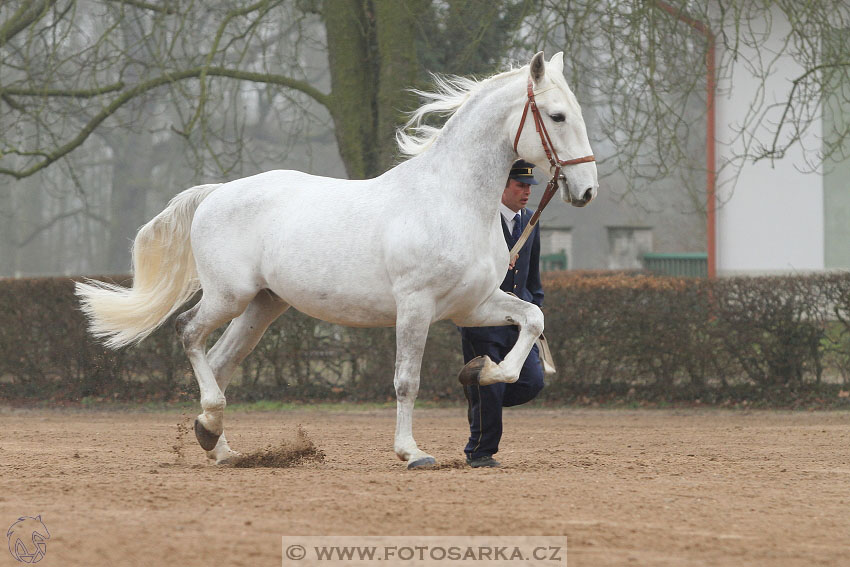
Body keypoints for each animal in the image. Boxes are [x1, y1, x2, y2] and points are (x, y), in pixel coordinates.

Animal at [78, 51, 596, 468]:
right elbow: (406, 381)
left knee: (221, 360)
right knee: (188, 333)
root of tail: (216, 192)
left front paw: (480, 371)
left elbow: (531, 320)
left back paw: (216, 442)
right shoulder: (416, 307)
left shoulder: (472, 305)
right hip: (230, 296)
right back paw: (212, 427)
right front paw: (412, 453)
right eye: (556, 116)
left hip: (264, 305)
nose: (587, 190)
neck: (452, 200)